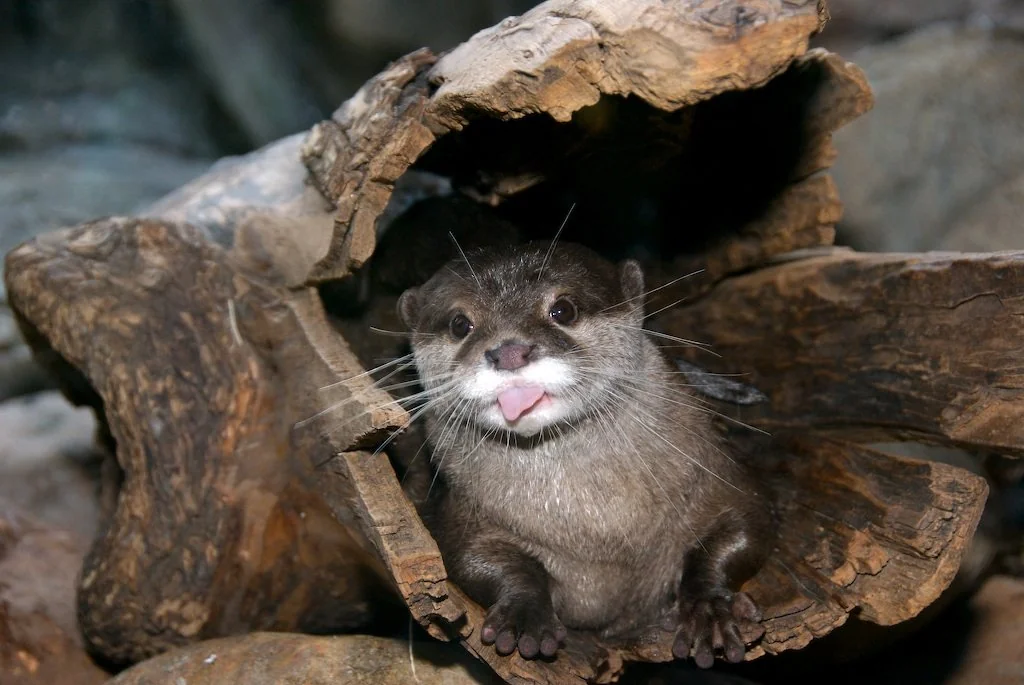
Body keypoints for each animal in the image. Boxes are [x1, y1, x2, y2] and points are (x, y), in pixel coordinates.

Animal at [397, 241, 772, 668]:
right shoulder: (463, 510)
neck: (597, 529)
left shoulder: (713, 469)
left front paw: (708, 608)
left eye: (563, 310)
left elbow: (745, 521)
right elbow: (471, 557)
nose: (510, 352)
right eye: (460, 324)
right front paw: (525, 614)